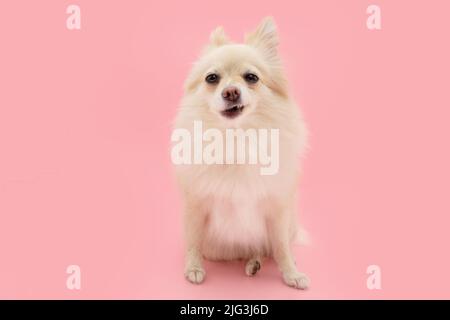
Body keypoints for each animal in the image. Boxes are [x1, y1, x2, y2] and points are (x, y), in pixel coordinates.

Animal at [172, 17, 310, 290]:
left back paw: (256, 262)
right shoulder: (196, 205)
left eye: (251, 77)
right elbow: (193, 243)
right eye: (212, 78)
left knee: (266, 249)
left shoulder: (277, 209)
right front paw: (193, 268)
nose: (231, 92)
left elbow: (281, 248)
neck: (237, 137)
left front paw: (291, 273)